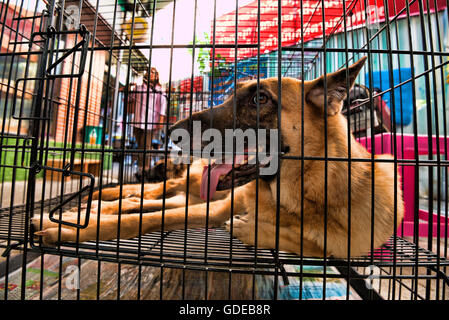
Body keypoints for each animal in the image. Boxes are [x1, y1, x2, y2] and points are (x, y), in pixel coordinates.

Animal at [32, 57, 402, 258]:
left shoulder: (338, 249)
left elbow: (299, 240)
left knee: (146, 201)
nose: (172, 133)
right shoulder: (216, 208)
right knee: (143, 197)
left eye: (260, 99)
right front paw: (65, 230)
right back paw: (91, 205)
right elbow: (142, 220)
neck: (296, 198)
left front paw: (251, 228)